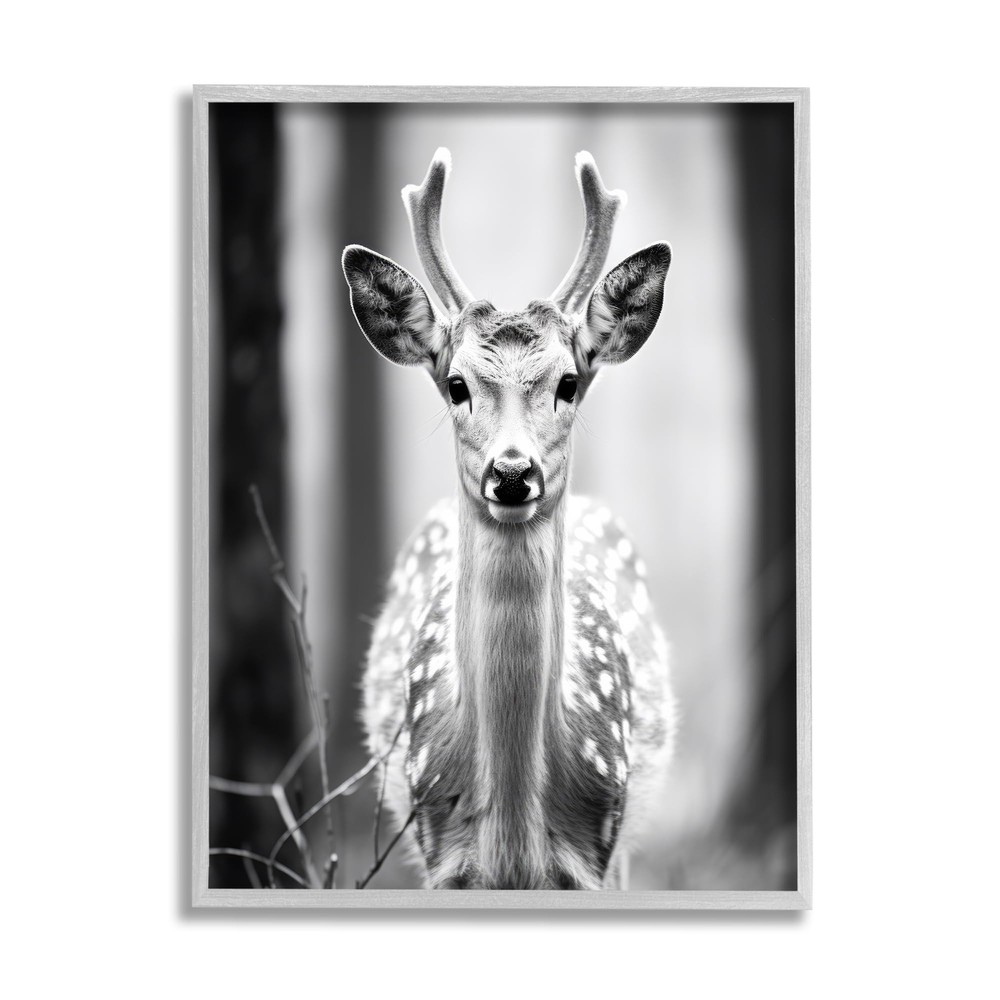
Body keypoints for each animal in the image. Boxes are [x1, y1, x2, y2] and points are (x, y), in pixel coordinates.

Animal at [342, 148, 676, 890]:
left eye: (569, 382)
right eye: (456, 384)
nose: (514, 473)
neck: (515, 829)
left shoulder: (597, 851)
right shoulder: (437, 850)